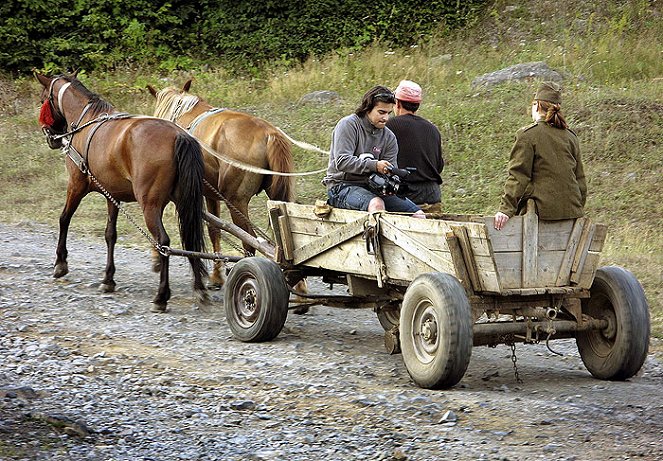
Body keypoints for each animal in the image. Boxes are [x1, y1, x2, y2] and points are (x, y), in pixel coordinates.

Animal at [37, 73, 208, 312]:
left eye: (44, 98)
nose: (51, 137)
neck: (86, 121)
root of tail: (178, 136)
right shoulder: (112, 195)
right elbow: (110, 234)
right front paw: (108, 279)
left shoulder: (76, 185)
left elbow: (64, 219)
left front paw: (61, 263)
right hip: (184, 203)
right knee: (191, 240)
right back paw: (199, 288)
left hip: (149, 205)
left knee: (163, 241)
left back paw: (161, 296)